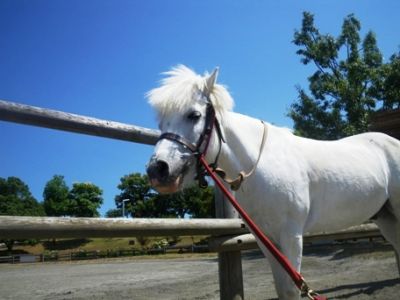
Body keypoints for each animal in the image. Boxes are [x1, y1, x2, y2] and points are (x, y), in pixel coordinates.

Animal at [146, 65, 400, 298]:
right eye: (161, 124)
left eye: (194, 115)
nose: (157, 170)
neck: (261, 166)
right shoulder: (267, 240)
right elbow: (282, 288)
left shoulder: (291, 236)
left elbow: (292, 288)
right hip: (386, 218)